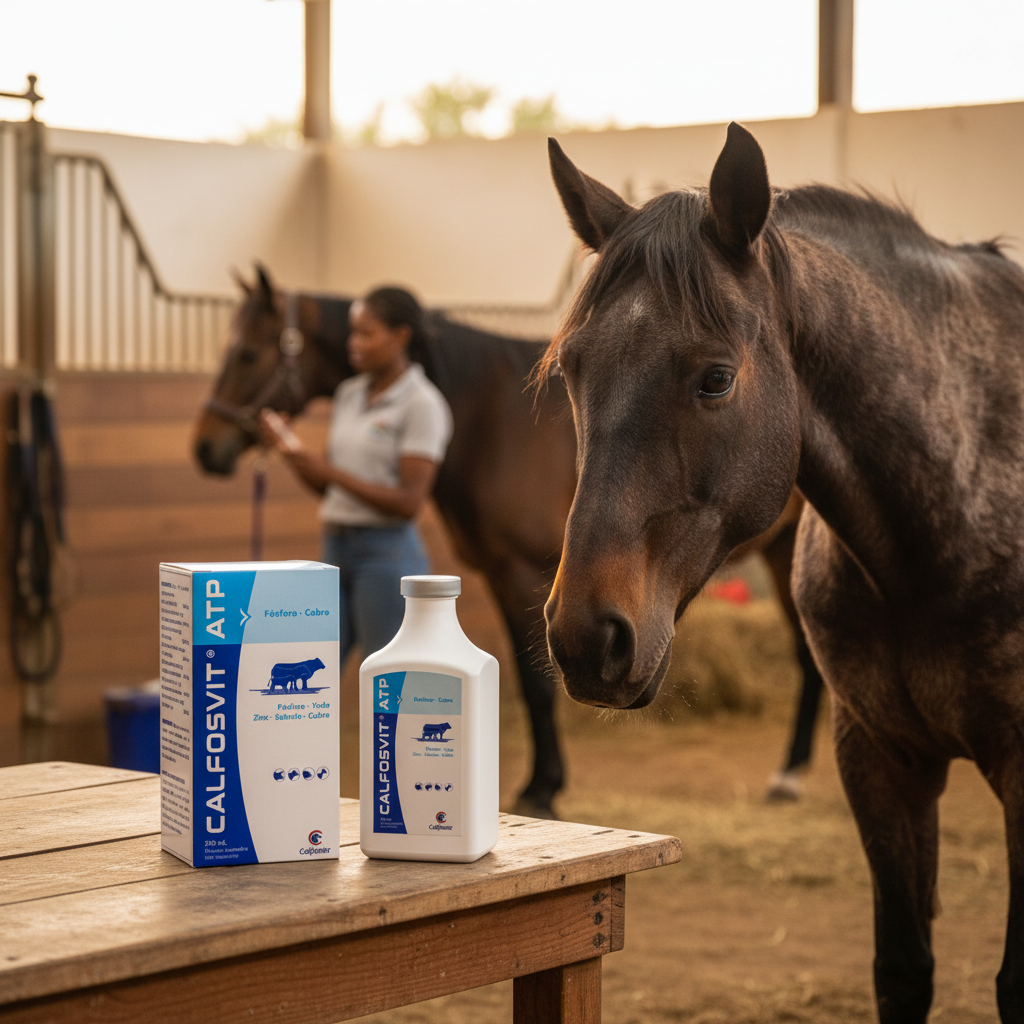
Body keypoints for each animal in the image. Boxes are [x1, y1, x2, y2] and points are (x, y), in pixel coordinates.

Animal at [192, 266, 823, 817]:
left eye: (248, 352)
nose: (205, 448)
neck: (492, 421)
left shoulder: (531, 575)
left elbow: (539, 686)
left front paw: (541, 790)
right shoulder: (501, 574)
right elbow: (525, 675)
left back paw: (791, 777)